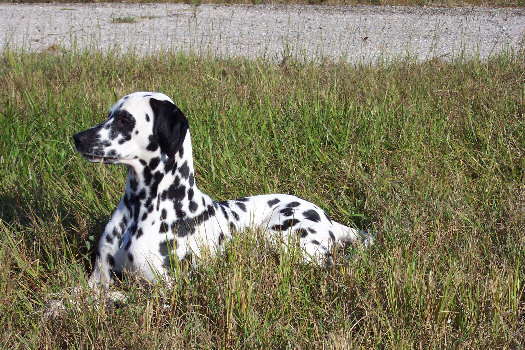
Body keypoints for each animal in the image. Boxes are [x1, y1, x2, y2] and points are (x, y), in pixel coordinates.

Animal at [72, 91, 372, 288]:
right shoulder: (96, 282)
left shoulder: (161, 291)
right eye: (109, 115)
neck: (142, 208)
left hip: (280, 236)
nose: (77, 138)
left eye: (124, 119)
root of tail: (328, 218)